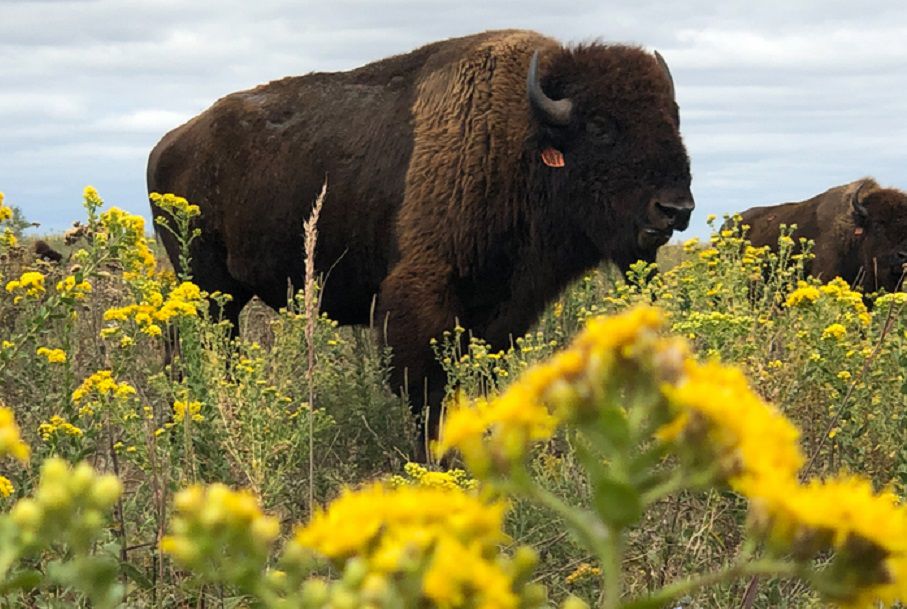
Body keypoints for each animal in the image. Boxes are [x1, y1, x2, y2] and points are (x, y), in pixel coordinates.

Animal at [151, 29, 696, 436]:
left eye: (674, 119)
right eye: (601, 126)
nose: (676, 208)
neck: (521, 140)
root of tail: (170, 143)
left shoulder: (500, 313)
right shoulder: (421, 299)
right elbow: (429, 393)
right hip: (207, 286)